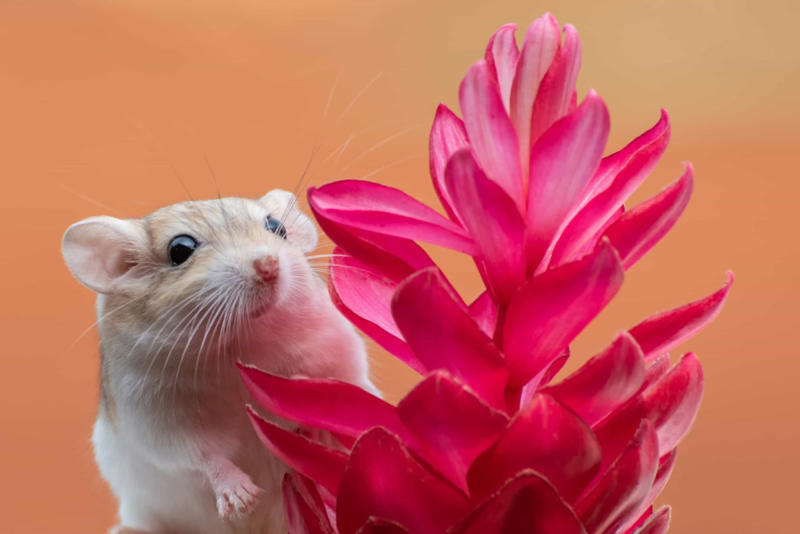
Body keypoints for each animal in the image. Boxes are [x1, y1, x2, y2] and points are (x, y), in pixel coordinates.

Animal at [61, 190, 378, 534]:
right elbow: (204, 457)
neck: (240, 346)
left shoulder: (344, 360)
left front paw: (305, 398)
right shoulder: (158, 421)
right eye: (180, 249)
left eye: (276, 227)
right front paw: (243, 500)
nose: (268, 266)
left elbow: (344, 403)